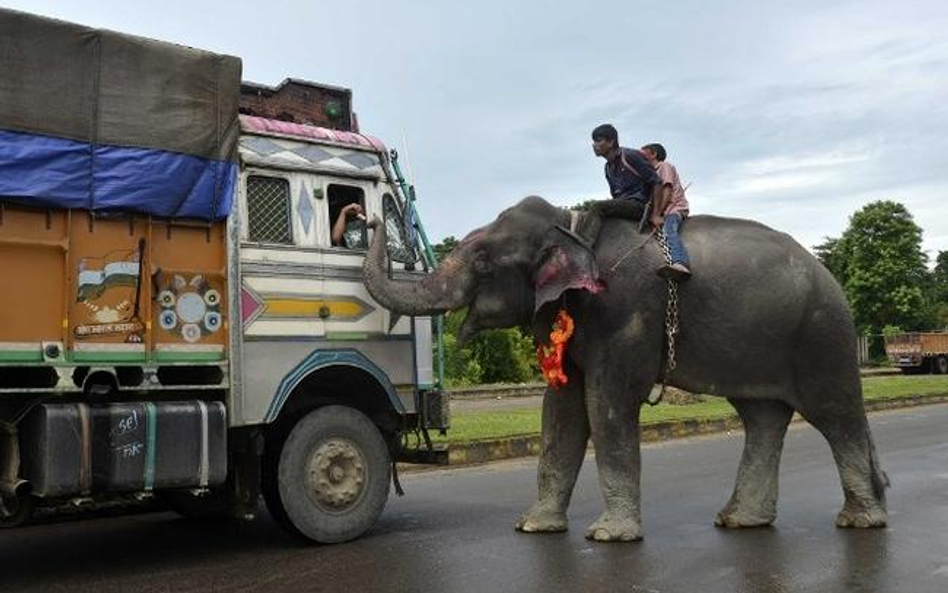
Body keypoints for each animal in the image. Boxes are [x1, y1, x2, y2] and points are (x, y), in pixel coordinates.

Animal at [362, 195, 888, 540]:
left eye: (484, 260)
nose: (364, 218)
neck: (572, 226)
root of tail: (829, 273)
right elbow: (561, 412)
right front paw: (533, 527)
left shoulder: (627, 311)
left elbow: (607, 403)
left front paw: (608, 536)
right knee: (762, 417)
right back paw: (740, 520)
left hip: (821, 335)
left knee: (835, 413)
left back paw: (860, 521)